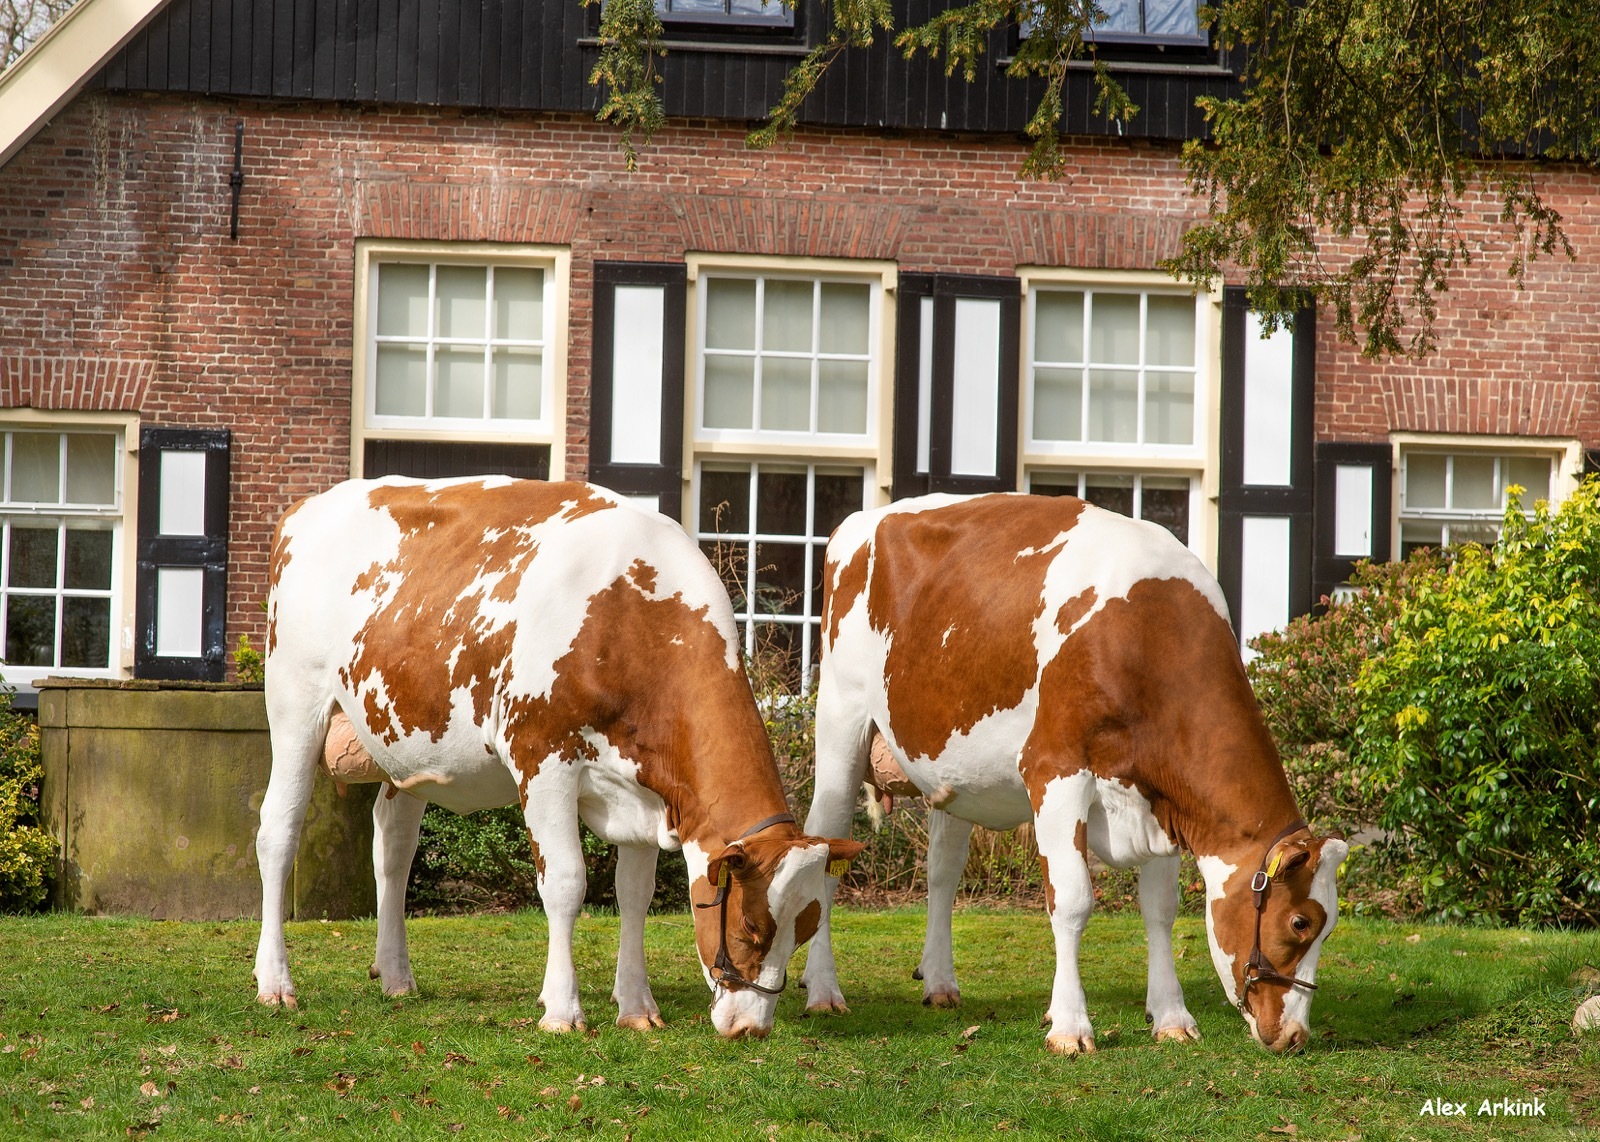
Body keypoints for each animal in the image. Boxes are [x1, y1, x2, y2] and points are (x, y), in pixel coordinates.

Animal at [252, 476, 864, 1036]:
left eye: (806, 930)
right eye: (752, 929)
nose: (750, 1028)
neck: (629, 620)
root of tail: (310, 505)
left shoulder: (645, 785)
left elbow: (634, 895)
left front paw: (636, 1007)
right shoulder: (541, 759)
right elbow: (567, 883)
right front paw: (562, 1010)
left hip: (404, 746)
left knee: (394, 844)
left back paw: (397, 976)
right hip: (295, 706)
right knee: (277, 832)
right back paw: (275, 983)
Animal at [806, 492, 1344, 1055]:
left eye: (1329, 930)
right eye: (1300, 922)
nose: (1295, 1036)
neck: (1145, 634)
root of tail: (863, 518)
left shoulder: (1161, 800)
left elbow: (1160, 909)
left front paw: (1172, 1017)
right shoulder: (1056, 772)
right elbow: (1072, 900)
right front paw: (1069, 1025)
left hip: (950, 771)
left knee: (943, 871)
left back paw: (939, 983)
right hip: (840, 721)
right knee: (825, 846)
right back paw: (822, 992)